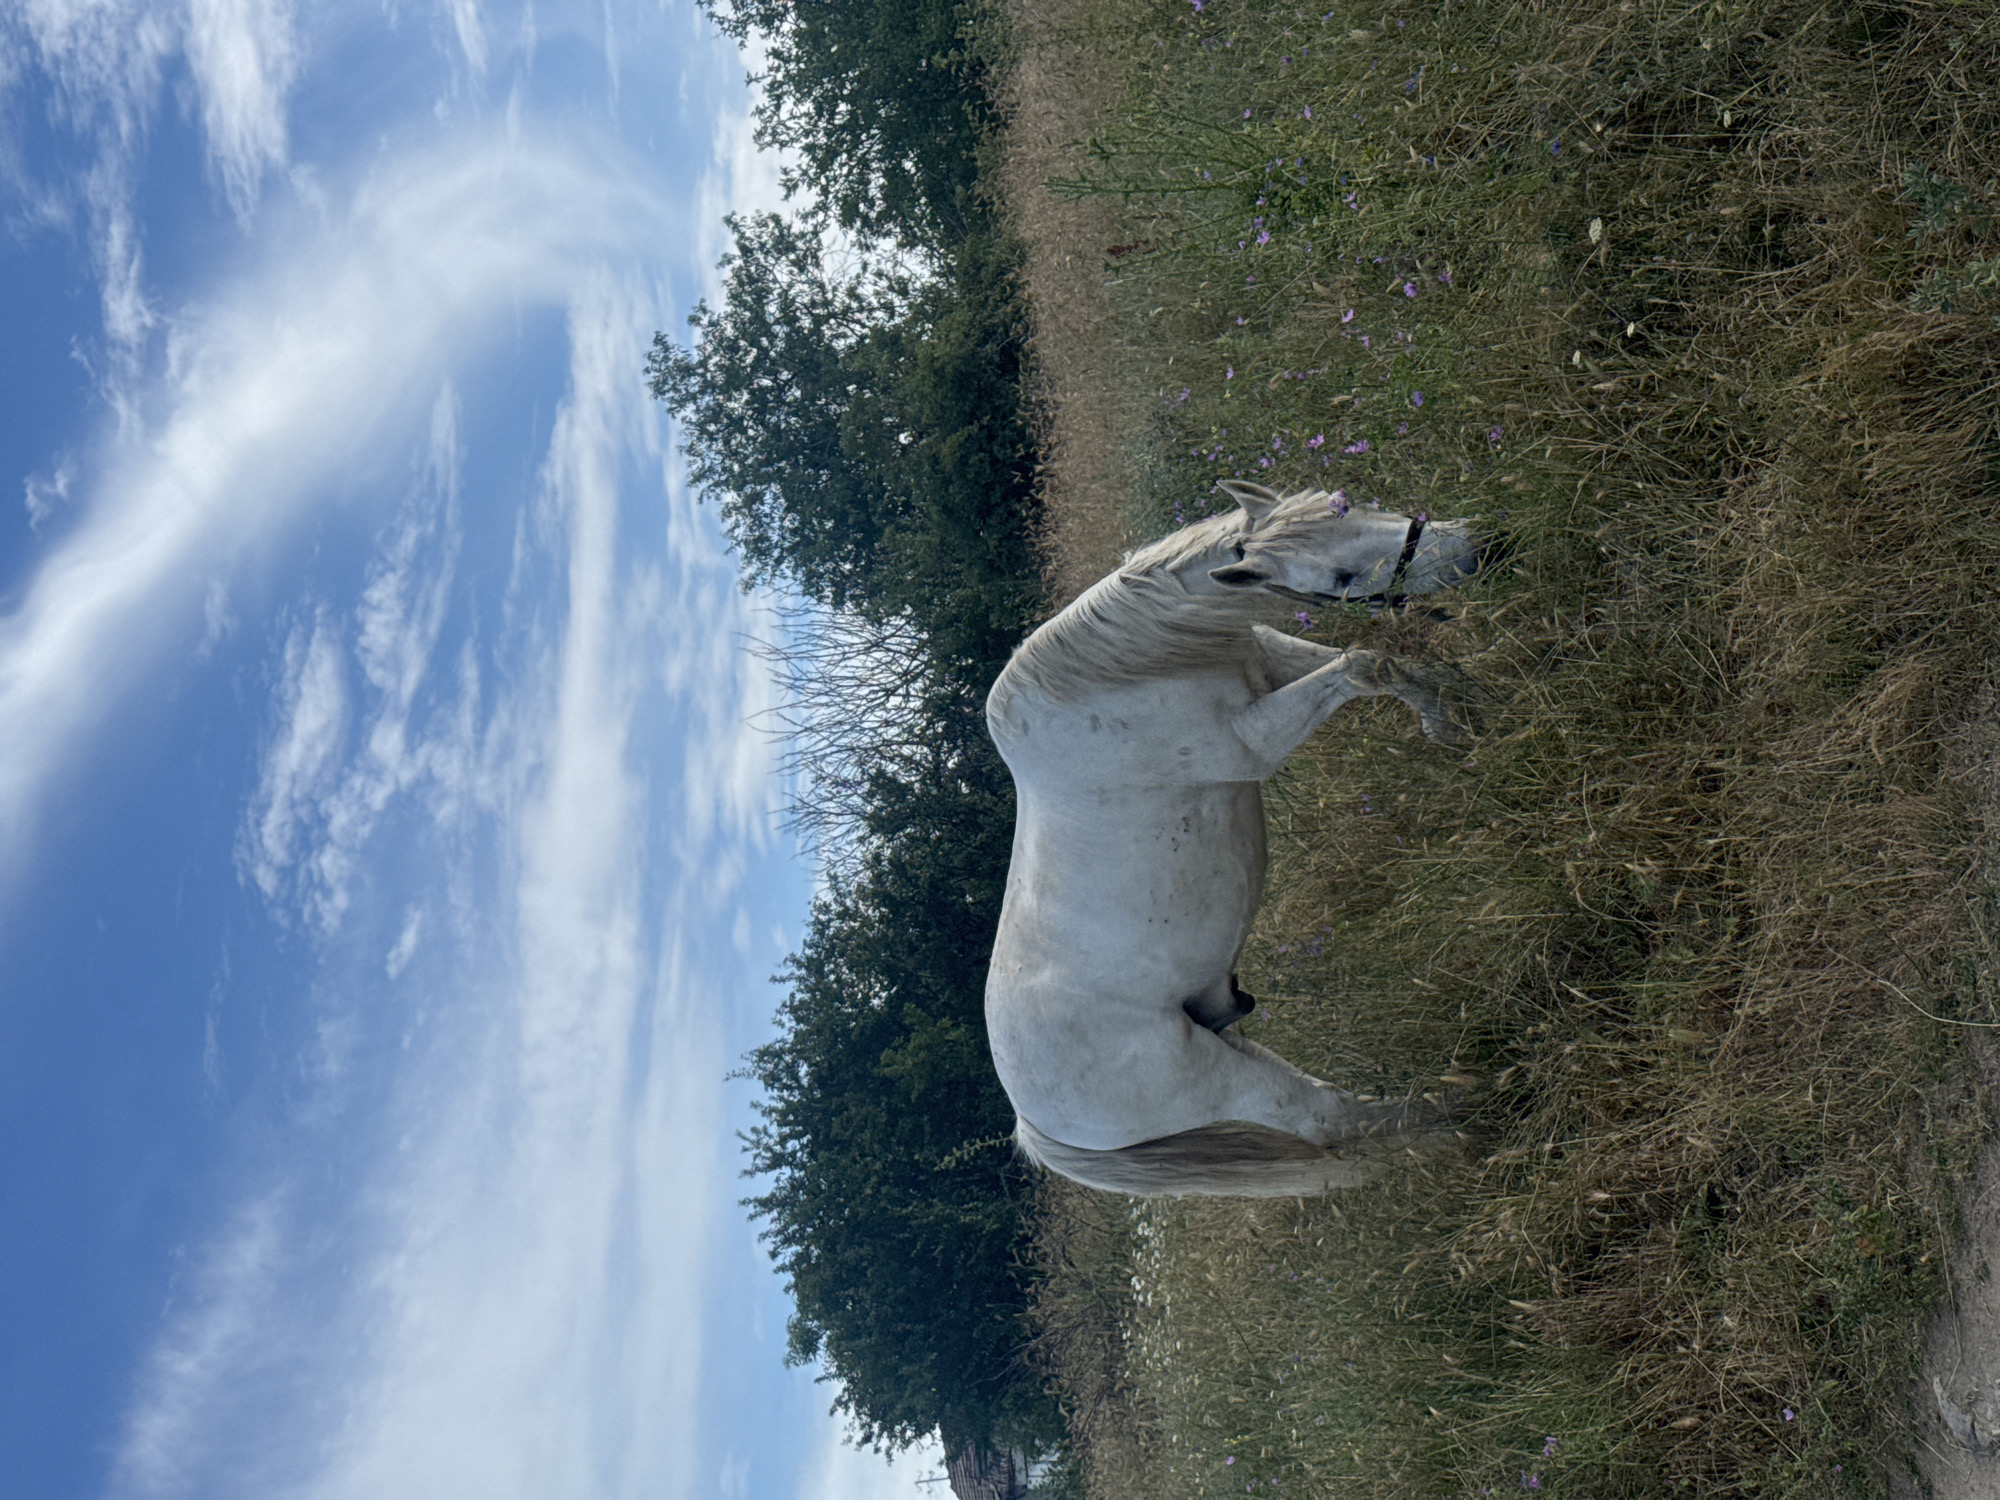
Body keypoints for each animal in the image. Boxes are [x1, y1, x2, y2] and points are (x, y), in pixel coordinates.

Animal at [983, 481, 1489, 1196]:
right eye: (1336, 578)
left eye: (1352, 504)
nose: (1477, 548)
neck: (1125, 675)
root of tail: (1033, 1122)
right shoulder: (1254, 743)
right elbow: (1366, 665)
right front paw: (1457, 713)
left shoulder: (1271, 660)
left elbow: (1385, 667)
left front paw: (1459, 707)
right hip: (1219, 1080)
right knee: (1327, 1119)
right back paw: (1467, 1114)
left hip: (1227, 1036)